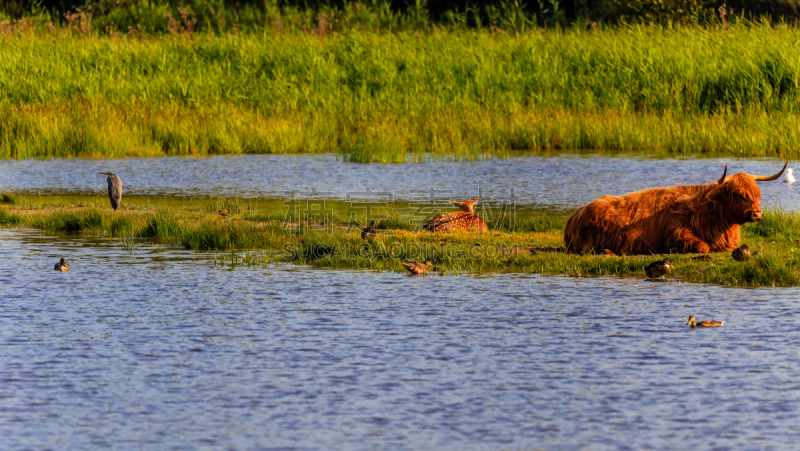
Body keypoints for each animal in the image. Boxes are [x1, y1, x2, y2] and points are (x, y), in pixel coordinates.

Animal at [564, 162, 788, 254]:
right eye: (738, 194)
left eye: (758, 195)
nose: (756, 214)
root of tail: (575, 214)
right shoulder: (677, 231)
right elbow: (702, 246)